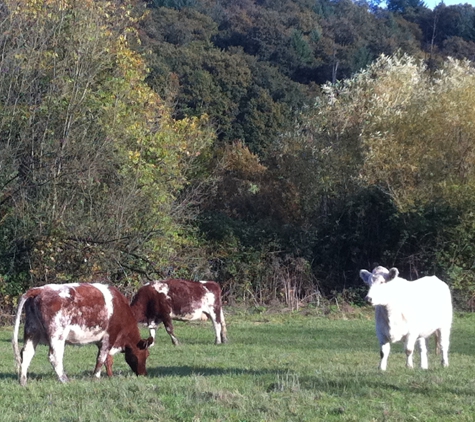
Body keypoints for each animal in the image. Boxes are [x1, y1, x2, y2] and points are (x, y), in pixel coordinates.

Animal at [11, 284, 152, 386]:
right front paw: (96, 377)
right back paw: (65, 380)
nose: (144, 374)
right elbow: (101, 358)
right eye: (146, 354)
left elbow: (107, 359)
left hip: (31, 331)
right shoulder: (110, 336)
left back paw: (23, 381)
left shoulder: (101, 340)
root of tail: (40, 289)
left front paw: (110, 376)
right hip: (57, 335)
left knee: (27, 353)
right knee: (54, 357)